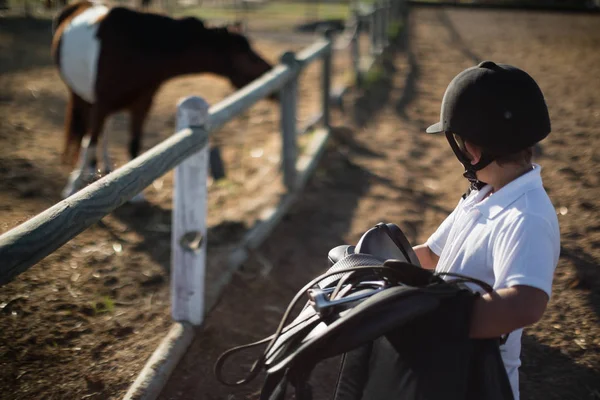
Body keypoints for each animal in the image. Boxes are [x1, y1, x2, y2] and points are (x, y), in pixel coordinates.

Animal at [52, 0, 276, 200]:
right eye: (246, 54)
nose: (271, 72)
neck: (134, 47)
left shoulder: (142, 104)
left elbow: (133, 144)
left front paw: (136, 194)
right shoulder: (102, 103)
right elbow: (90, 143)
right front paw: (74, 186)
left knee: (103, 131)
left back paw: (103, 167)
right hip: (79, 95)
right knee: (89, 134)